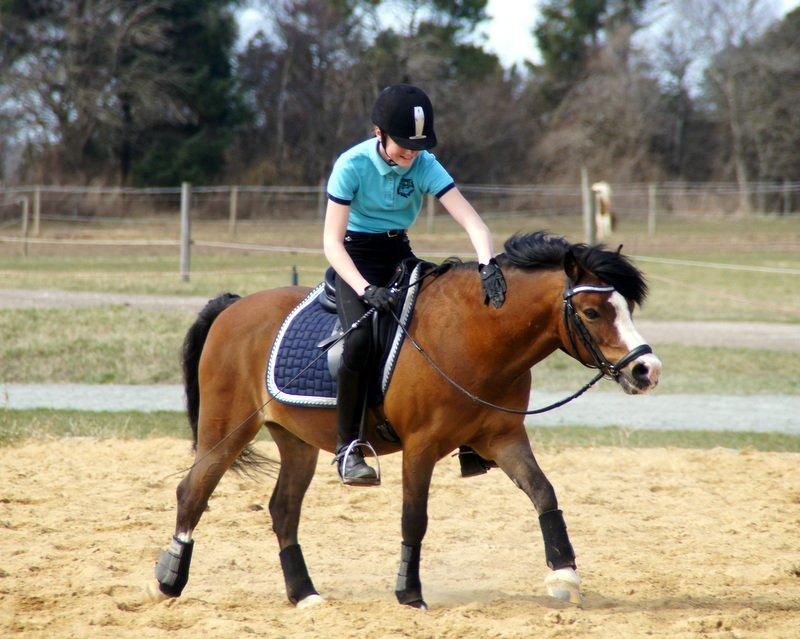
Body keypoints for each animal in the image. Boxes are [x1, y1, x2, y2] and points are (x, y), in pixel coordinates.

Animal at [150, 231, 662, 610]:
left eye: (626, 308)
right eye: (592, 311)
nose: (646, 369)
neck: (475, 335)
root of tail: (234, 307)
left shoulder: (503, 437)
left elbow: (544, 493)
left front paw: (565, 574)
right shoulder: (421, 446)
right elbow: (414, 518)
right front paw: (409, 592)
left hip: (296, 440)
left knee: (283, 509)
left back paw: (304, 594)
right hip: (227, 431)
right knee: (192, 490)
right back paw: (170, 579)